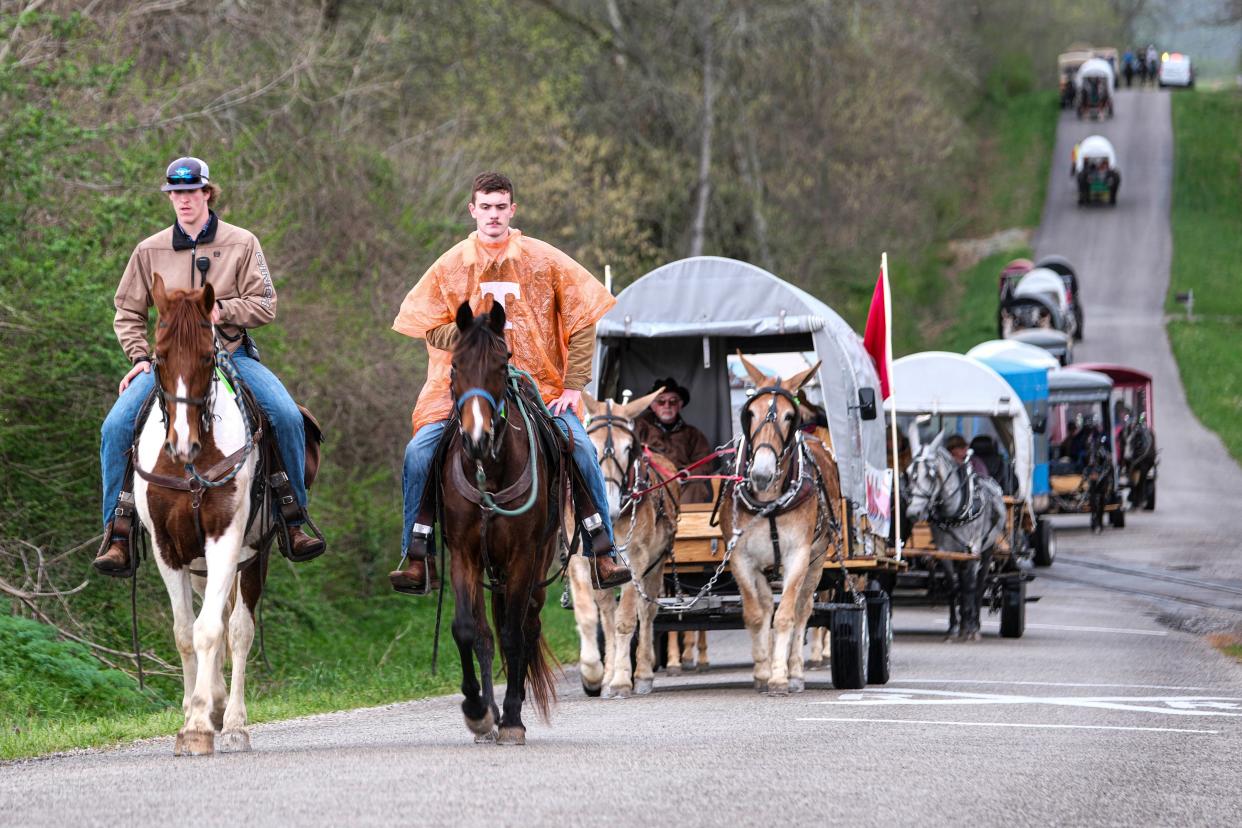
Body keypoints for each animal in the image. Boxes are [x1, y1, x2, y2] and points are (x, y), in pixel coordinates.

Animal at [134, 275, 273, 754]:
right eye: (158, 357)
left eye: (208, 356)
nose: (182, 444)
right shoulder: (168, 550)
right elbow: (183, 633)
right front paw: (193, 715)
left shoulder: (226, 540)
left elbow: (211, 629)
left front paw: (198, 724)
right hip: (199, 564)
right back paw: (213, 704)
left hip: (253, 555)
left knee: (239, 629)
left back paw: (232, 723)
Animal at [444, 299, 561, 744]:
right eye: (455, 364)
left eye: (501, 362)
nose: (476, 439)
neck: (489, 474)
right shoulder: (464, 553)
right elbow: (469, 630)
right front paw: (478, 711)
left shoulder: (523, 558)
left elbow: (514, 634)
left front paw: (511, 718)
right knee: (487, 632)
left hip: (539, 562)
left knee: (527, 626)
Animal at [568, 389, 685, 700]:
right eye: (591, 446)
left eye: (628, 447)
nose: (607, 508)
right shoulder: (580, 562)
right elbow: (589, 616)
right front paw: (594, 674)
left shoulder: (637, 559)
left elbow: (627, 620)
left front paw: (622, 680)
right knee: (606, 613)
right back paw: (607, 672)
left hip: (656, 565)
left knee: (646, 612)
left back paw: (641, 674)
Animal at [720, 357, 844, 695]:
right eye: (750, 412)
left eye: (790, 416)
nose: (761, 474)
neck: (770, 502)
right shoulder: (741, 558)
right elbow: (755, 614)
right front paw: (763, 672)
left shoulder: (798, 556)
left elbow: (787, 615)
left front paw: (779, 676)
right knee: (765, 606)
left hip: (817, 559)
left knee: (803, 609)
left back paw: (796, 671)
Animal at [904, 431, 1008, 645]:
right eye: (908, 473)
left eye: (931, 474)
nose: (913, 513)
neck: (955, 510)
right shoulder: (945, 552)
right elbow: (953, 587)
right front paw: (953, 628)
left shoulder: (973, 550)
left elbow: (970, 587)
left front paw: (970, 628)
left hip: (987, 551)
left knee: (979, 585)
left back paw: (974, 622)